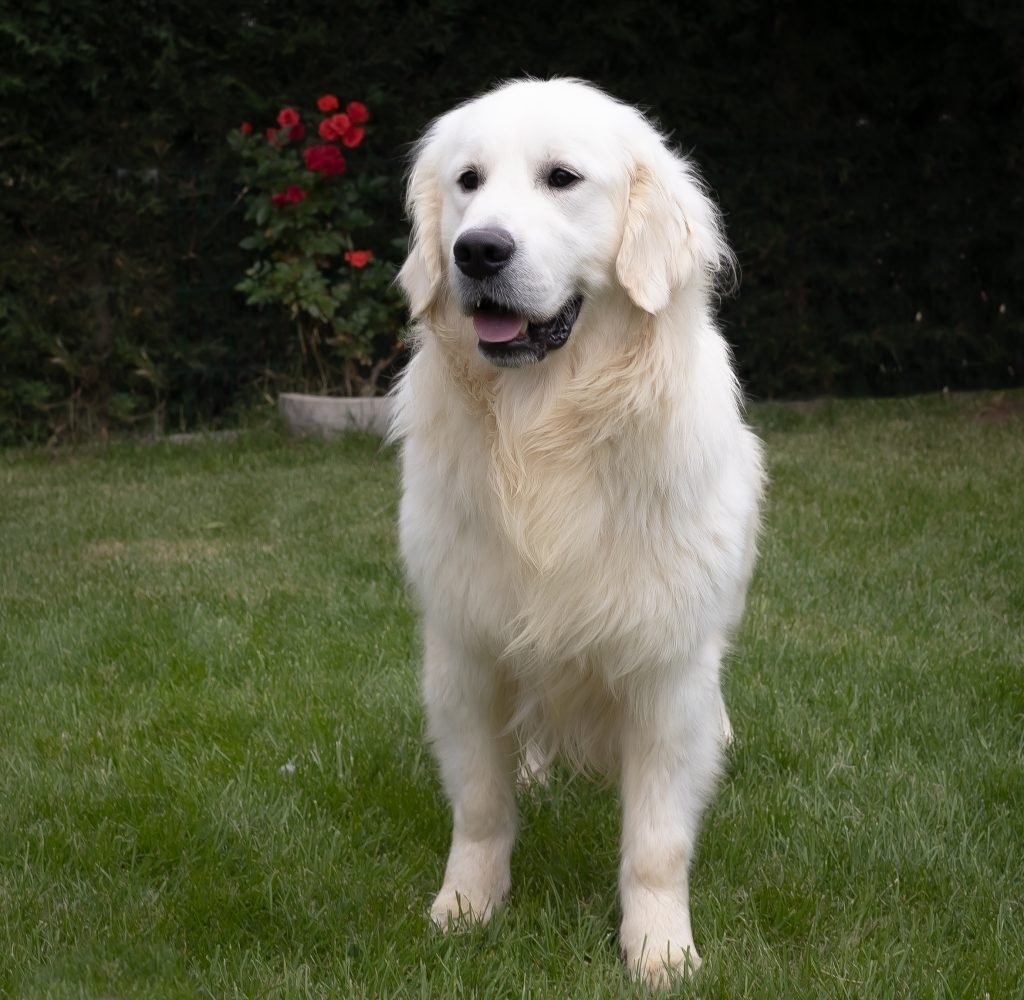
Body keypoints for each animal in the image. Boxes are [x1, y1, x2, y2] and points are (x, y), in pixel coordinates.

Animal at [387, 77, 765, 982]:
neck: (542, 434)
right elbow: (481, 805)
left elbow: (657, 842)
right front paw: (465, 908)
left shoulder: (666, 667)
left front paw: (660, 949)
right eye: (468, 182)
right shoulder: (466, 651)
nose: (478, 251)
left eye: (562, 178)